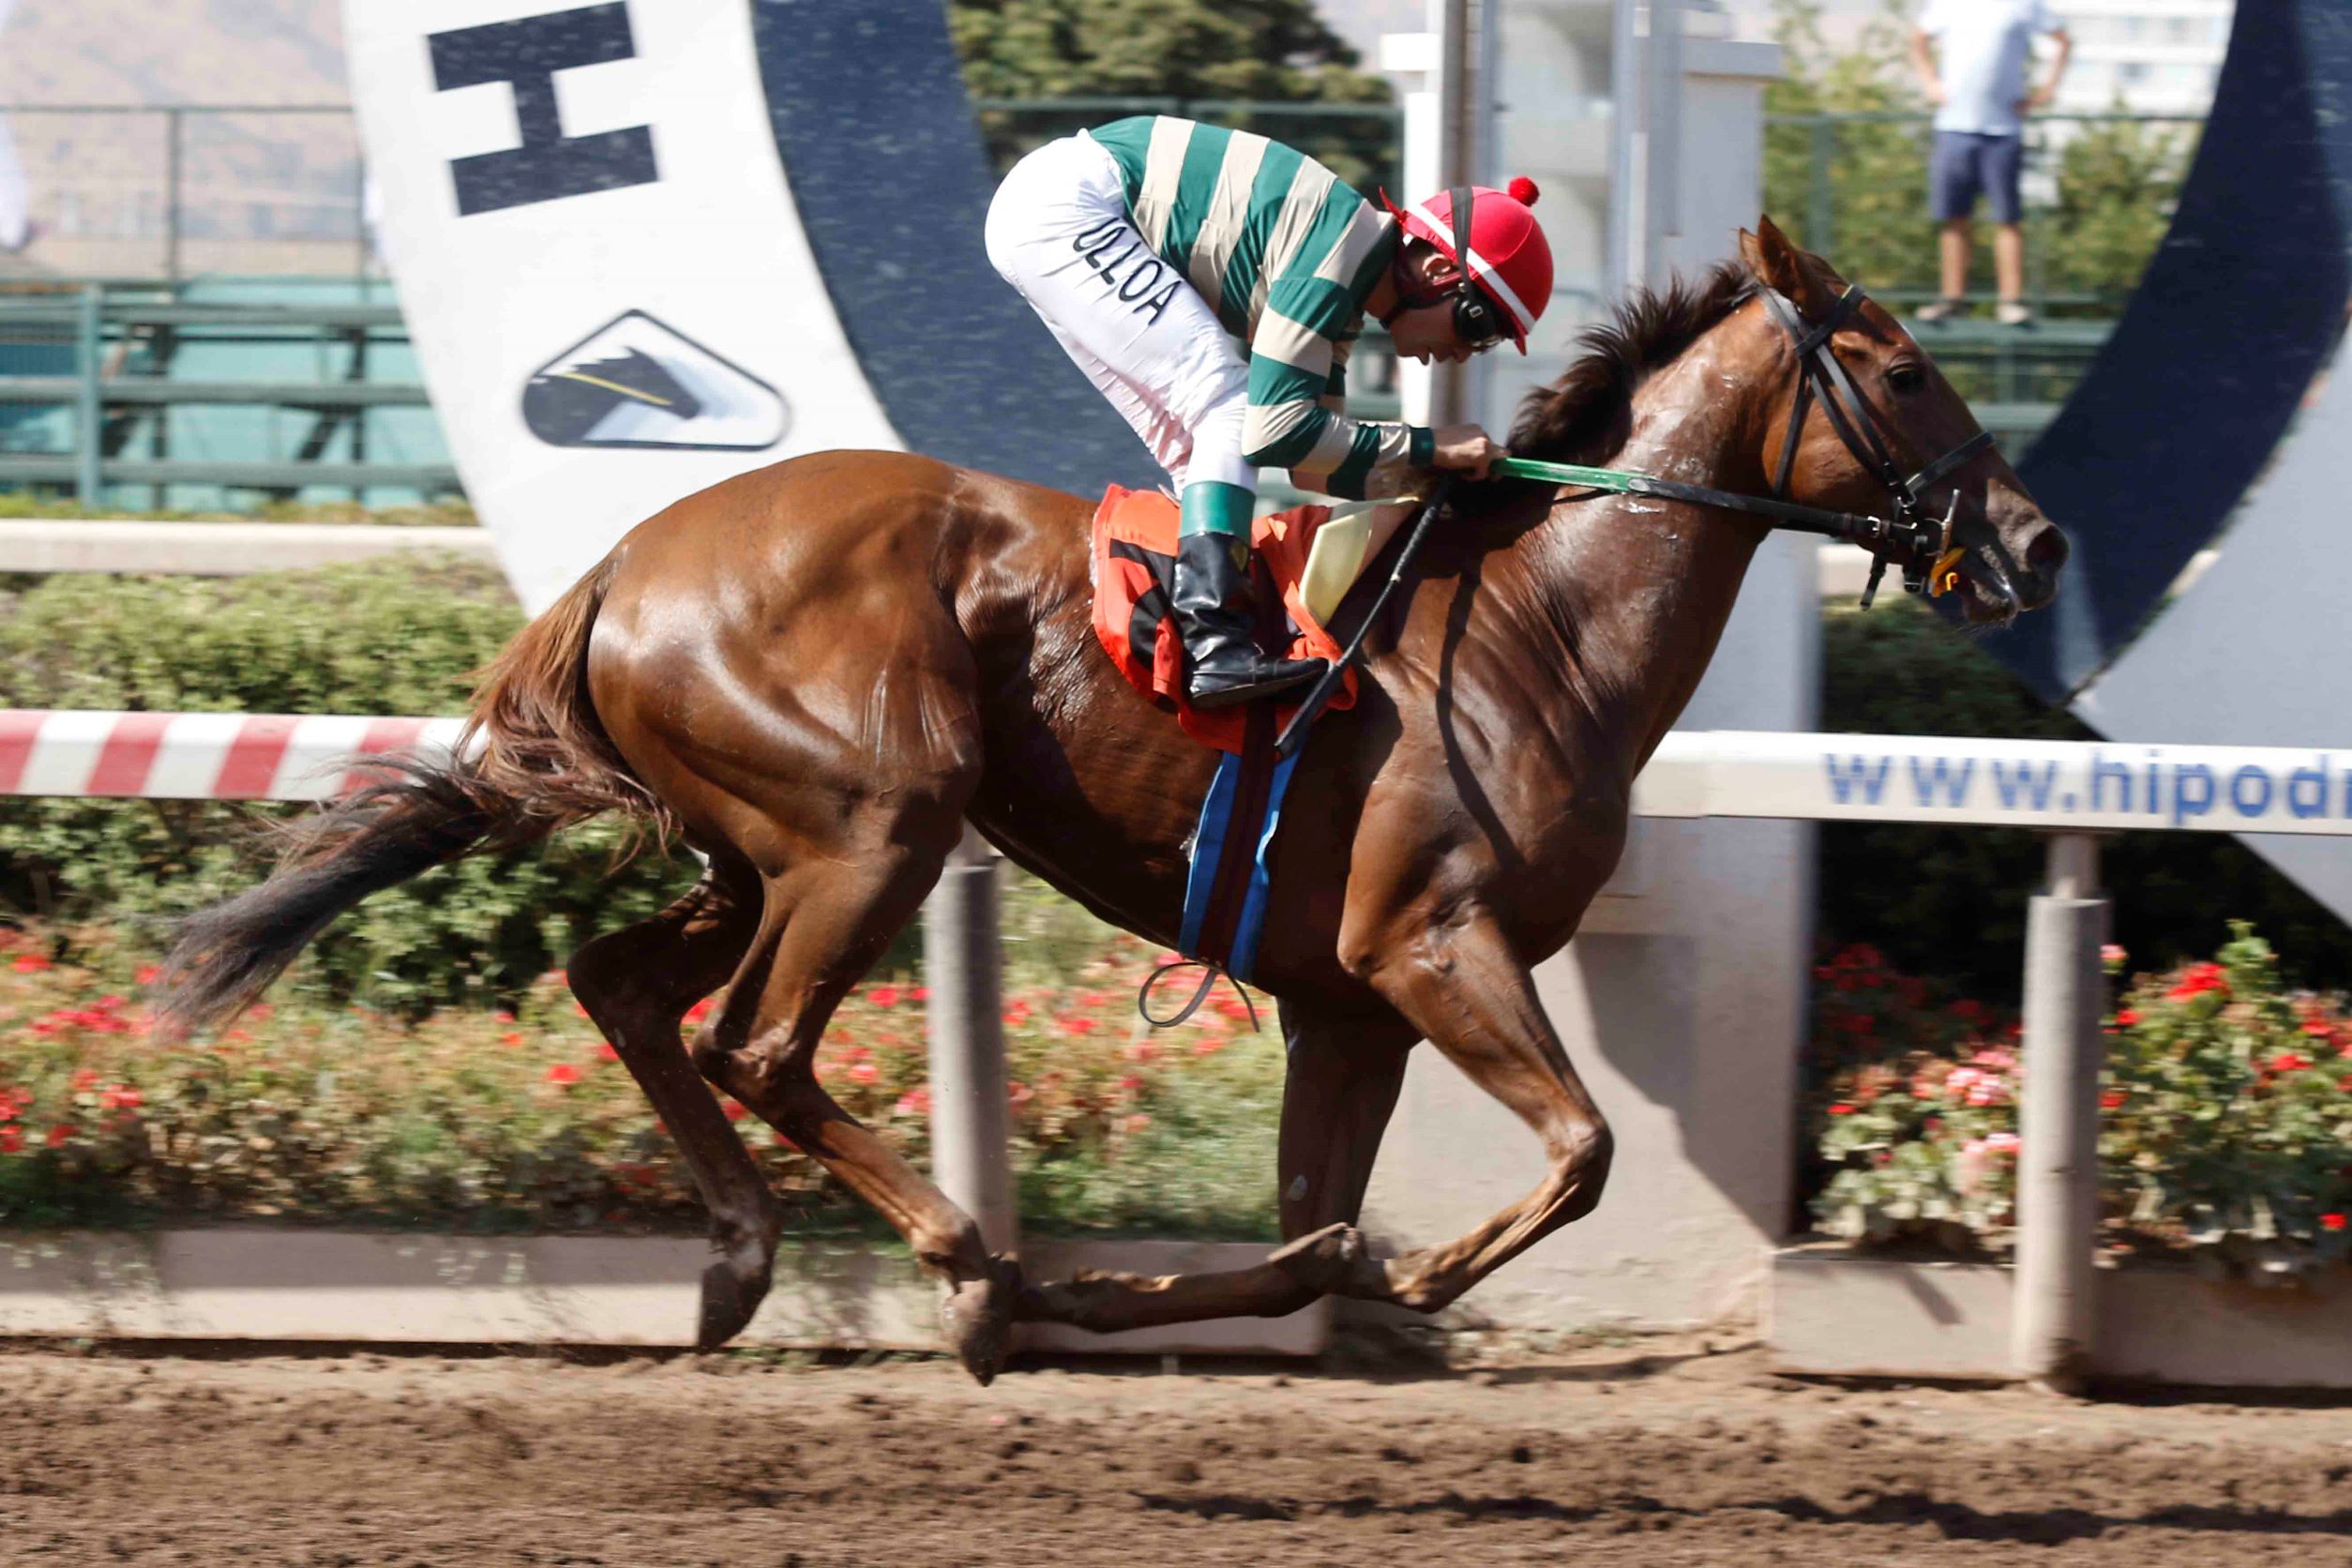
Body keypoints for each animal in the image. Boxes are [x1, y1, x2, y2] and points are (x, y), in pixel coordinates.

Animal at [155, 219, 2068, 1382]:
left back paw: (747, 1263)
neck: (1541, 628)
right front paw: (1392, 1284)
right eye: (1903, 368)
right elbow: (1578, 1154)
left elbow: (1304, 1236)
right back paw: (969, 1271)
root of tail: (625, 560)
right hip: (877, 821)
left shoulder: (1345, 1000)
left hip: (755, 845)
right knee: (755, 1043)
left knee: (624, 985)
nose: (2035, 542)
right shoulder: (1427, 944)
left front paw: (1137, 1290)